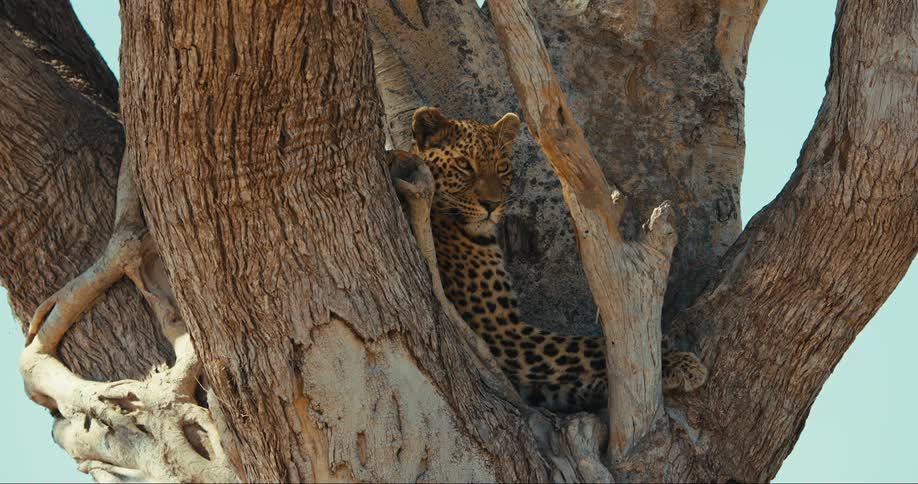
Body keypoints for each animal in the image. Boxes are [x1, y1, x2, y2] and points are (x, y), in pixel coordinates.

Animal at [409, 106, 708, 412]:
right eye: (464, 164)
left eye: (501, 167)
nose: (492, 204)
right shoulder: (500, 330)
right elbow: (588, 347)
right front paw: (677, 361)